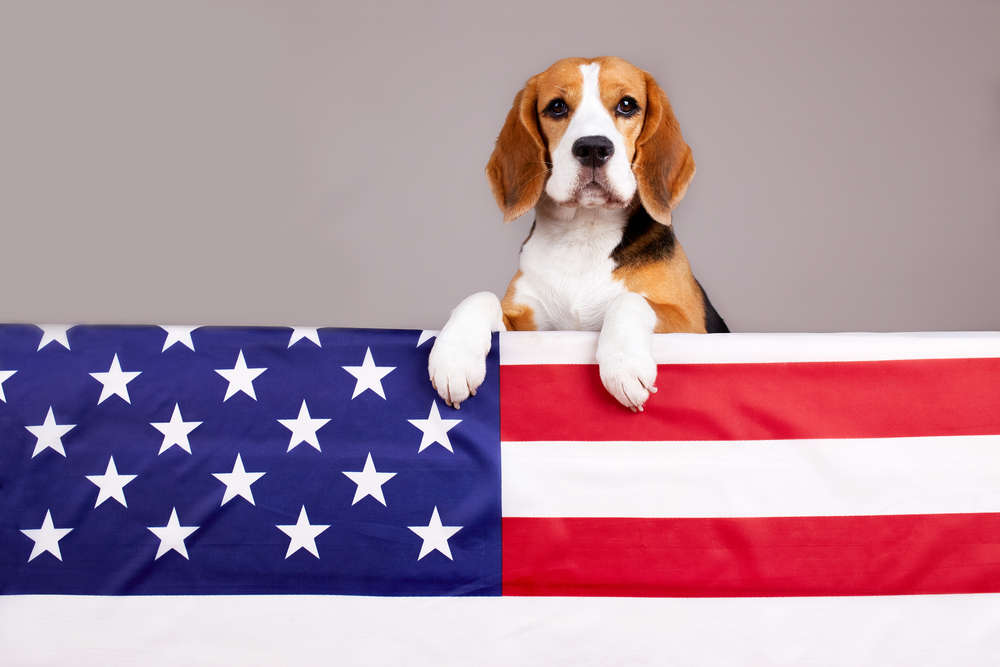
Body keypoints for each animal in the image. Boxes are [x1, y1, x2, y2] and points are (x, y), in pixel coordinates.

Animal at [430, 56, 728, 412]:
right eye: (557, 107)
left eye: (627, 105)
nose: (593, 148)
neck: (584, 233)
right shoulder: (526, 328)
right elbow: (479, 297)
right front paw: (454, 356)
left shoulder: (690, 326)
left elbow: (629, 300)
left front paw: (624, 364)